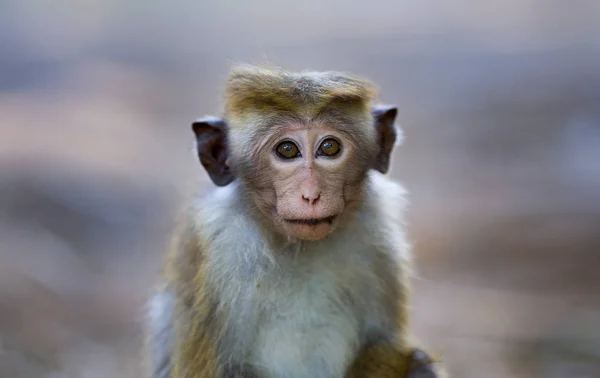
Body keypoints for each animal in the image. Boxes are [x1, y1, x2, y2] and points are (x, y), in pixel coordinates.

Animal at [145, 65, 446, 378]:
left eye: (329, 147)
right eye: (287, 150)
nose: (311, 195)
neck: (299, 248)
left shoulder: (379, 236)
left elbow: (385, 343)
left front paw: (414, 364)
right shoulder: (222, 251)